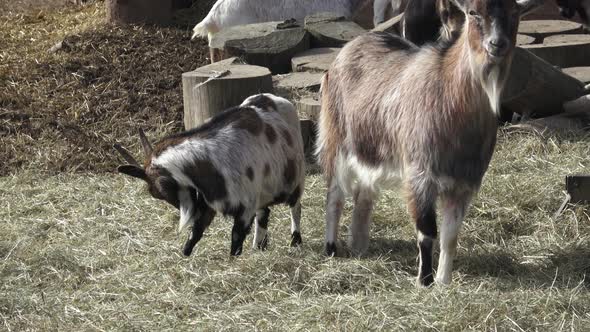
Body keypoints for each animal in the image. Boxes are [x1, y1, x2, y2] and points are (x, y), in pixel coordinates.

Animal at [115, 93, 306, 256]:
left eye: (158, 192)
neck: (209, 162)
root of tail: (275, 99)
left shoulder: (245, 208)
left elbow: (235, 242)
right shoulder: (208, 204)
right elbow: (194, 235)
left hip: (295, 179)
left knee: (295, 207)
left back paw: (295, 240)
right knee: (264, 212)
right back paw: (259, 246)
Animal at [316, 0, 544, 286]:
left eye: (515, 13)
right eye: (473, 13)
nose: (497, 43)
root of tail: (348, 48)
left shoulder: (463, 185)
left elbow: (450, 238)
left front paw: (443, 282)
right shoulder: (420, 176)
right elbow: (427, 233)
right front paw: (424, 281)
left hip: (372, 149)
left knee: (364, 193)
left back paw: (358, 246)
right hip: (335, 140)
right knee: (334, 194)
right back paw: (331, 248)